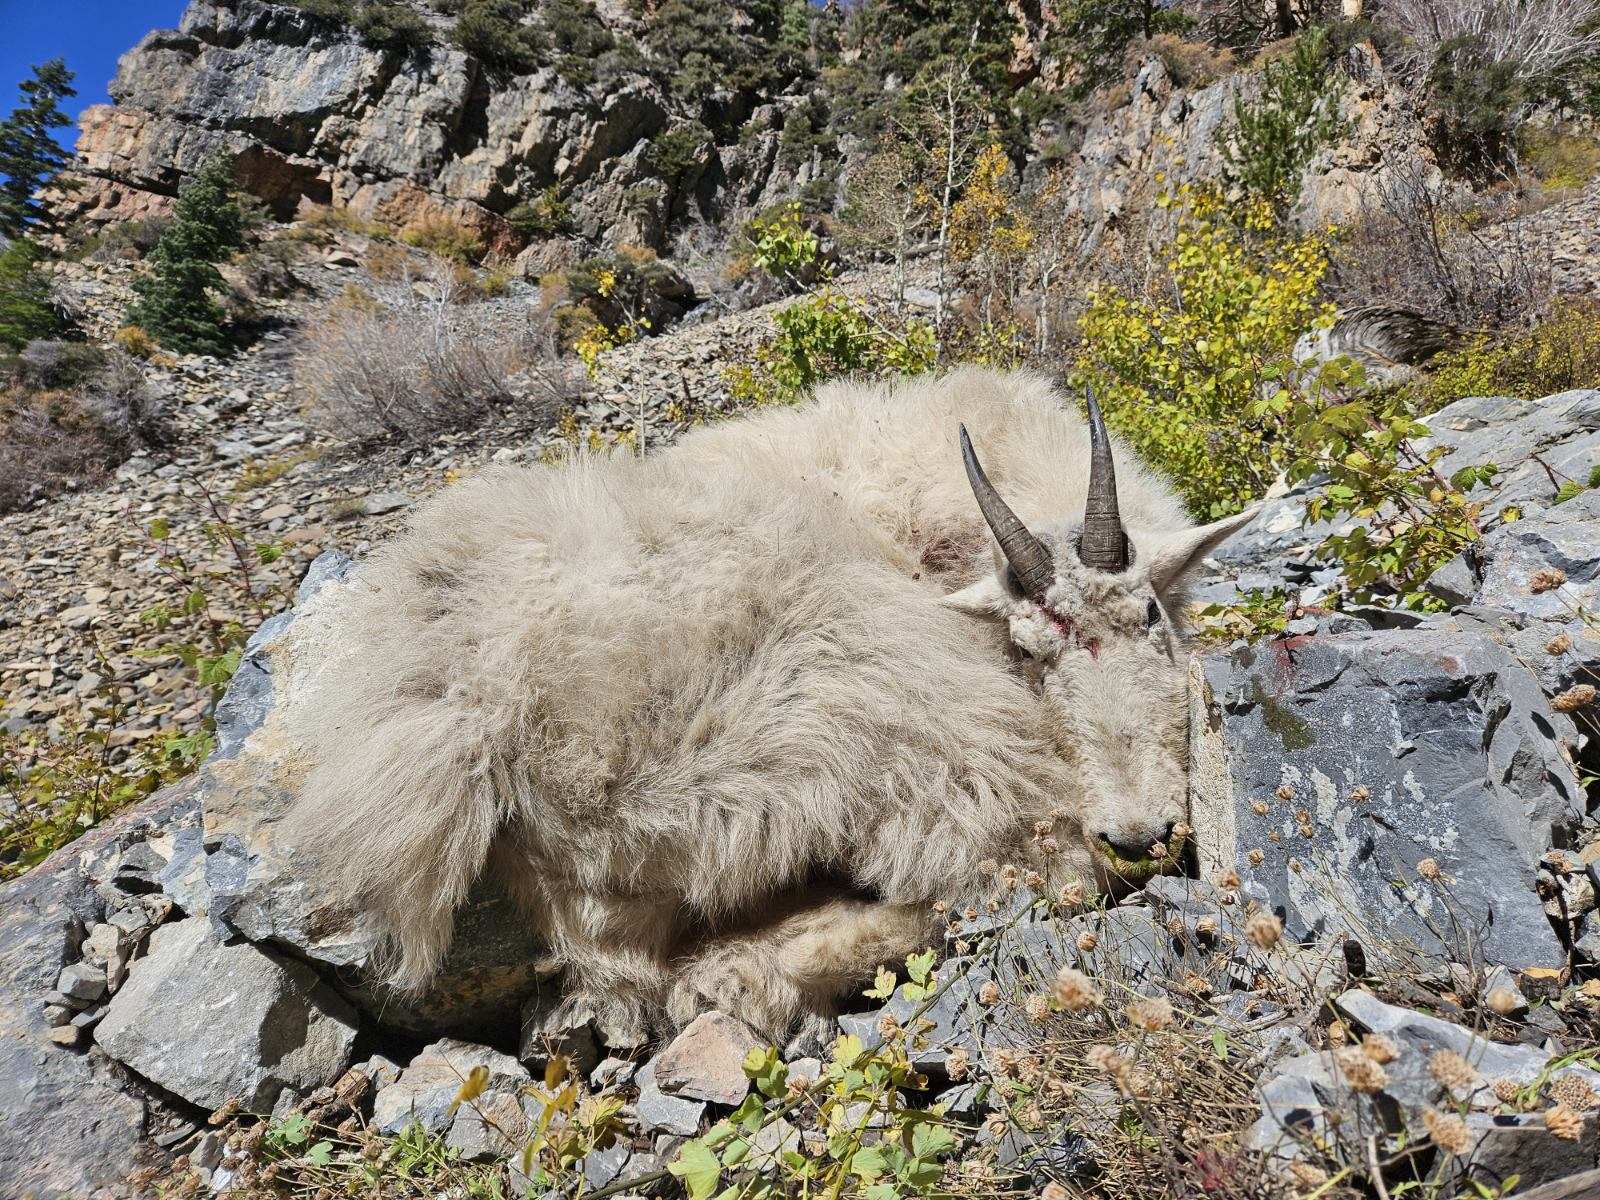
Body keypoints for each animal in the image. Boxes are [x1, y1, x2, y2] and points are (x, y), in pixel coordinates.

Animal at [294, 369, 1254, 1049]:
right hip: (842, 706)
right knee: (1000, 873)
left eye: (1151, 615)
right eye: (1028, 652)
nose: (1139, 833)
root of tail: (465, 705)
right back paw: (738, 974)